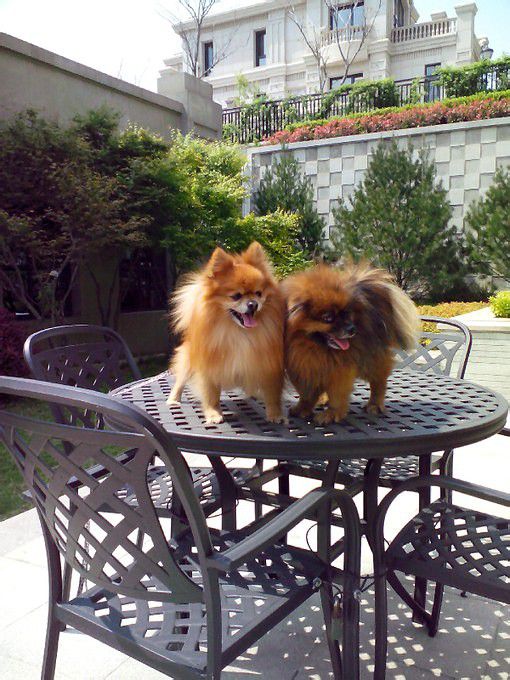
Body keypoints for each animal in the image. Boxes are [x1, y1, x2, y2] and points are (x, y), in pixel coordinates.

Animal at [167, 242, 286, 424]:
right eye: (236, 296)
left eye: (258, 293)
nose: (253, 304)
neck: (238, 332)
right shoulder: (208, 366)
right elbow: (211, 393)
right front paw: (213, 413)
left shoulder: (269, 366)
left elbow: (273, 394)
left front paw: (275, 414)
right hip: (189, 359)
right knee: (181, 379)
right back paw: (173, 399)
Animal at [283, 262, 419, 425]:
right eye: (328, 318)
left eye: (347, 314)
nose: (351, 329)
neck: (314, 347)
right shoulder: (303, 369)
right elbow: (307, 394)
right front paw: (302, 409)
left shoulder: (341, 370)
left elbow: (337, 395)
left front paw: (331, 414)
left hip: (370, 360)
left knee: (379, 382)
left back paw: (374, 404)